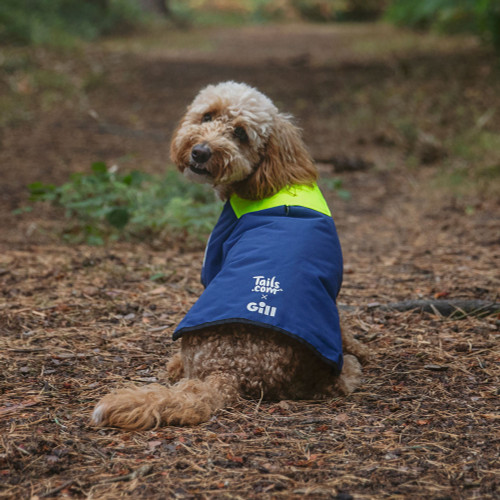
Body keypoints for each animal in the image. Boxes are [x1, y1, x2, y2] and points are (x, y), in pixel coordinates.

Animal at [92, 82, 370, 430]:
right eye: (207, 116)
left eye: (240, 133)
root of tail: (229, 370)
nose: (200, 151)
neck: (274, 178)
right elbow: (343, 326)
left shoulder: (215, 256)